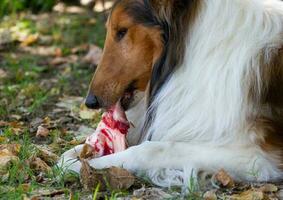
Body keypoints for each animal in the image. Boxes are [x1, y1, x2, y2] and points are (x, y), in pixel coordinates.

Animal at [60, 0, 283, 188]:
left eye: (122, 31)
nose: (90, 101)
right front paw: (77, 155)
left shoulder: (257, 156)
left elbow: (150, 150)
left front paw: (88, 166)